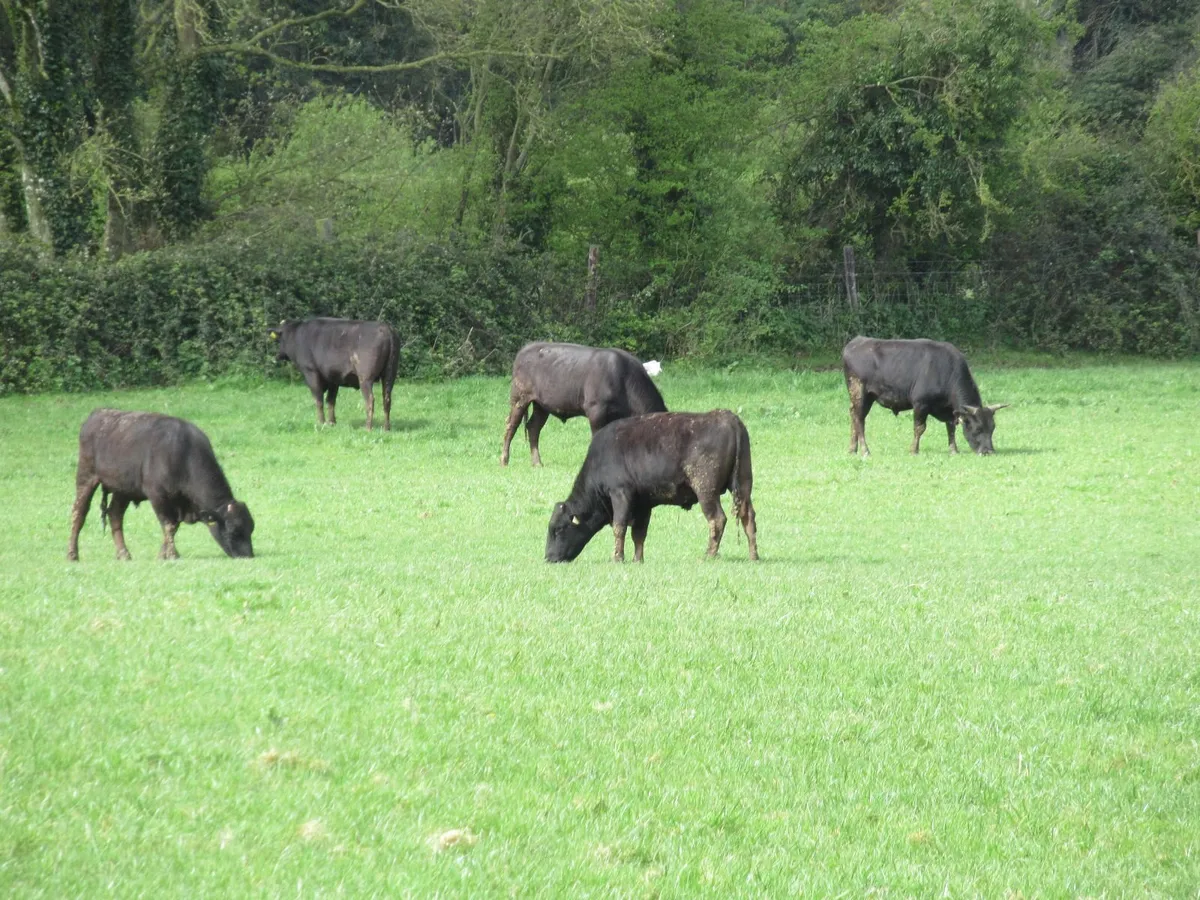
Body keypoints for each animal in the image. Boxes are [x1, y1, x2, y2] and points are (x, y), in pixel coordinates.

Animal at [67, 409, 255, 561]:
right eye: (233, 531)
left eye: (250, 529)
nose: (247, 555)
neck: (183, 454)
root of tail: (97, 414)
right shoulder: (157, 496)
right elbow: (169, 525)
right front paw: (172, 554)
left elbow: (173, 526)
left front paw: (163, 554)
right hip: (86, 477)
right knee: (79, 512)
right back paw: (72, 554)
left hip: (123, 490)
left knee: (114, 514)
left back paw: (124, 554)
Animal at [270, 318, 399, 431]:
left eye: (280, 339)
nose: (278, 355)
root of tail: (385, 327)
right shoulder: (333, 378)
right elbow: (331, 400)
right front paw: (332, 423)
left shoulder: (311, 372)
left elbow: (319, 400)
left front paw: (321, 423)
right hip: (389, 375)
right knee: (387, 400)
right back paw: (386, 428)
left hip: (365, 378)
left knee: (370, 400)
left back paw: (368, 428)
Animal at [501, 342, 667, 466]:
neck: (623, 378)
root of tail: (525, 349)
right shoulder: (595, 409)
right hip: (519, 398)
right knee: (511, 425)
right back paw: (504, 461)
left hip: (541, 405)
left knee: (533, 427)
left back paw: (537, 463)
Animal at [545, 410, 758, 563]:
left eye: (558, 529)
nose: (548, 557)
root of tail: (728, 418)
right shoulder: (643, 503)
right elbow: (639, 533)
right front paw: (637, 559)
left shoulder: (620, 494)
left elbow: (619, 527)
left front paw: (617, 558)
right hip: (743, 485)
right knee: (748, 517)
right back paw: (754, 556)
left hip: (706, 491)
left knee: (717, 519)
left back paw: (708, 555)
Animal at [842, 336, 1008, 456]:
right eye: (978, 428)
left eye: (992, 428)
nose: (988, 451)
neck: (947, 371)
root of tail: (856, 341)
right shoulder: (920, 404)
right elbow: (919, 428)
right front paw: (914, 450)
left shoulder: (949, 410)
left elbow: (951, 427)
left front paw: (953, 450)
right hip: (860, 393)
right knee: (859, 419)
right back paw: (865, 450)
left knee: (854, 416)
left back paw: (852, 449)